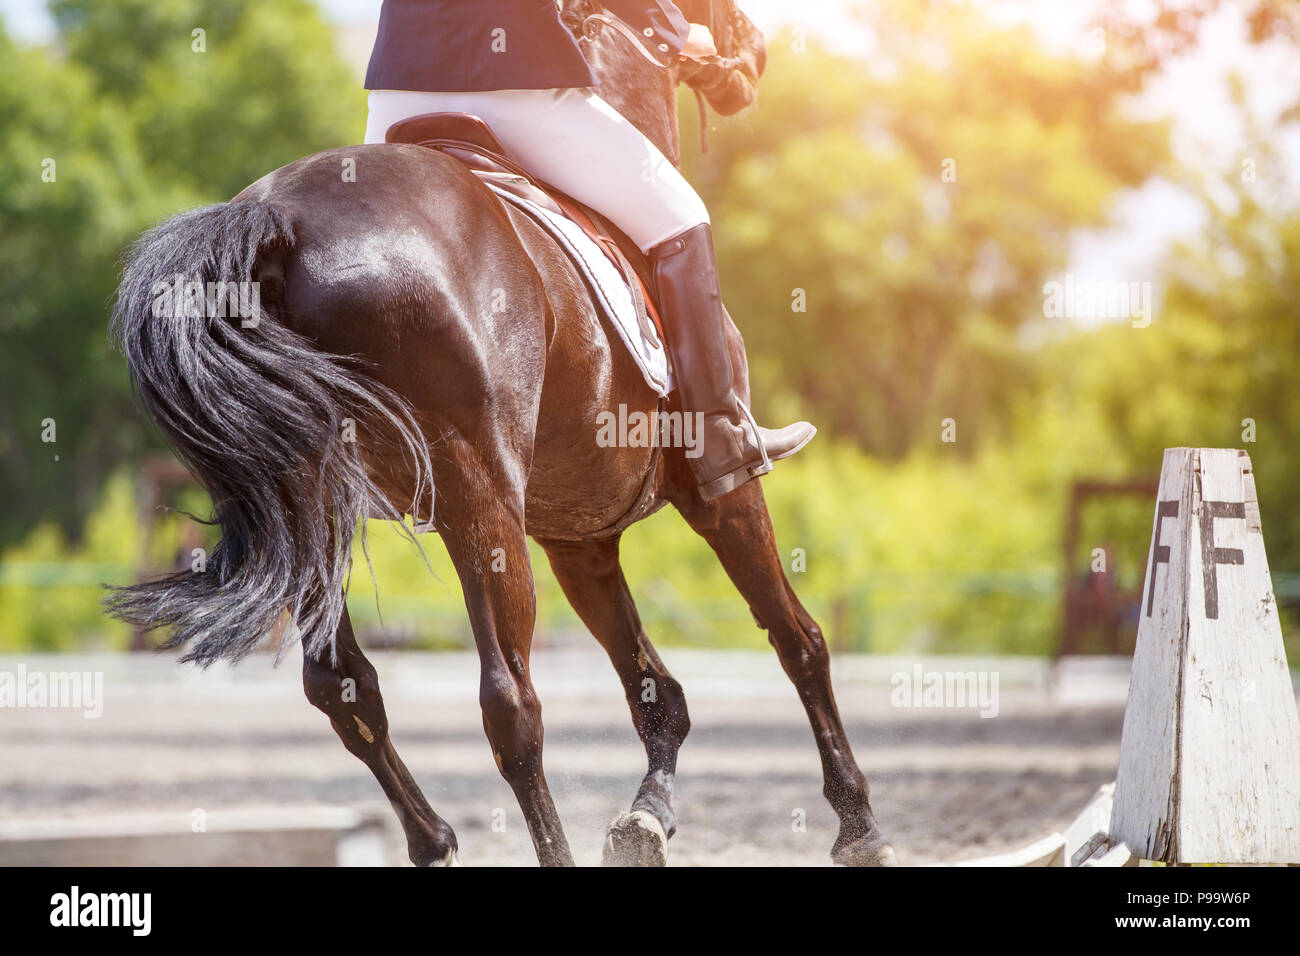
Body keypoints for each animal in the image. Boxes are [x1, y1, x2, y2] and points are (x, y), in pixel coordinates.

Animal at [104, 0, 894, 868]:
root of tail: (276, 219)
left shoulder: (577, 534)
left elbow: (656, 691)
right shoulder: (718, 494)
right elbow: (796, 638)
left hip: (310, 507)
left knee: (344, 687)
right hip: (476, 500)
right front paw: (858, 823)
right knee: (509, 702)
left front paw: (647, 818)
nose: (750, 56)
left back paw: (434, 841)